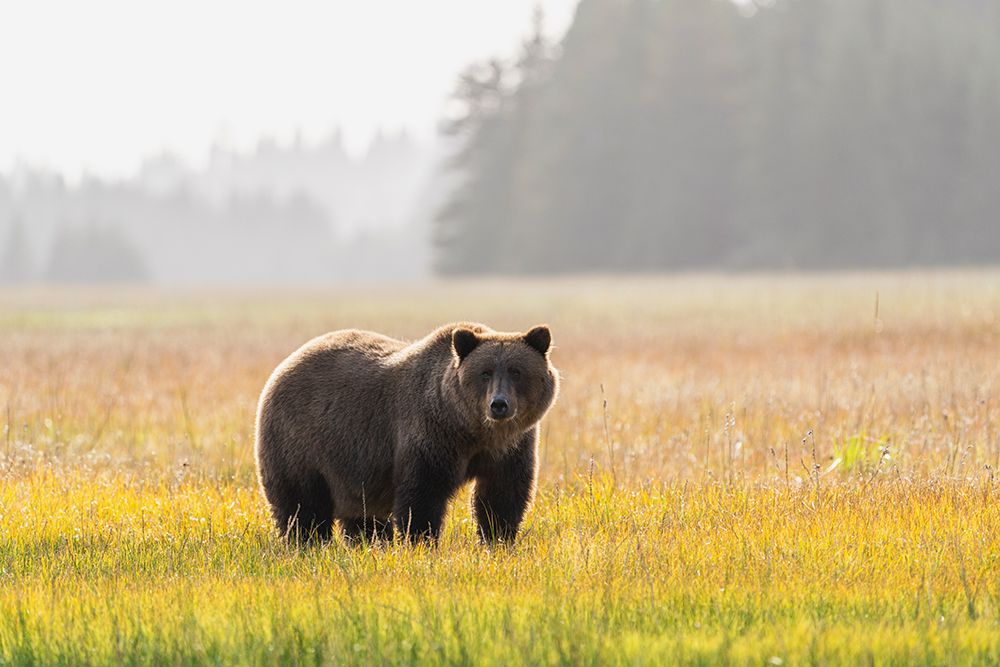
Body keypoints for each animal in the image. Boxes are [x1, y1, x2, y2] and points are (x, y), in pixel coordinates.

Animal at [254, 322, 559, 544]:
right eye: (484, 372)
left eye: (516, 371)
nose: (499, 404)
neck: (472, 432)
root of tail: (285, 365)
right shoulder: (430, 436)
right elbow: (422, 495)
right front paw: (422, 542)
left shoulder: (512, 447)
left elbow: (502, 497)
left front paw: (498, 540)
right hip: (300, 442)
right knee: (302, 505)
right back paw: (307, 543)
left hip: (352, 468)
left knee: (364, 515)